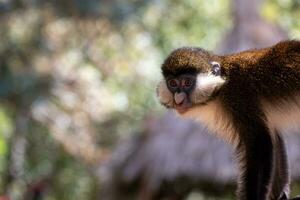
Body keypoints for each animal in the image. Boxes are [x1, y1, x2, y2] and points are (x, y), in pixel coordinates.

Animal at [156, 40, 300, 200]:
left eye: (187, 82)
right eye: (173, 84)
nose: (178, 99)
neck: (221, 86)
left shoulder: (238, 97)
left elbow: (260, 142)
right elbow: (275, 139)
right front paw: (280, 195)